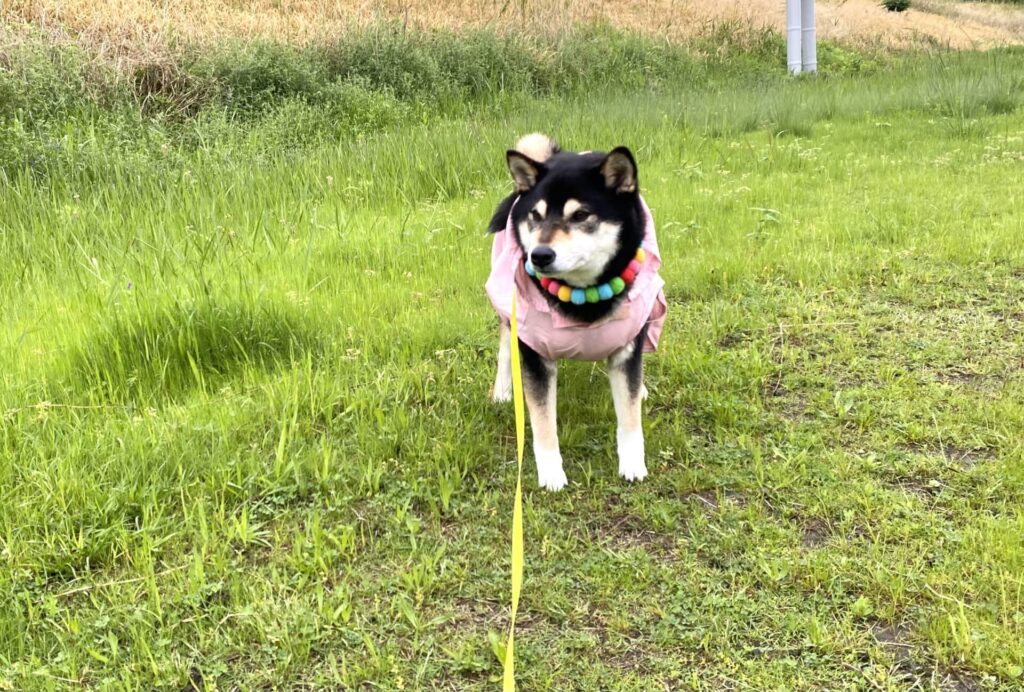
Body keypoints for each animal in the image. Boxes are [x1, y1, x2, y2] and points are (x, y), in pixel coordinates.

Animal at [483, 134, 667, 491]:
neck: (583, 296)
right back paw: (502, 391)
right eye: (536, 215)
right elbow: (543, 422)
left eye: (581, 215)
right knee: (503, 350)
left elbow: (629, 415)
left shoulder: (627, 348)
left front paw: (632, 463)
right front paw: (551, 473)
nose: (539, 255)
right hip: (508, 310)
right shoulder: (534, 355)